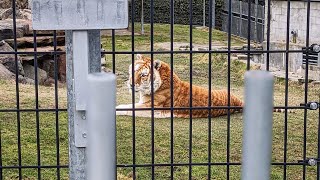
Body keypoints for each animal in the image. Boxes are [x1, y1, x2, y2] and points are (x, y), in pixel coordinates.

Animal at [116, 53, 294, 118]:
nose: (130, 84)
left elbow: (126, 107)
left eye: (143, 75)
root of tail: (238, 102)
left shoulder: (151, 107)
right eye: (133, 71)